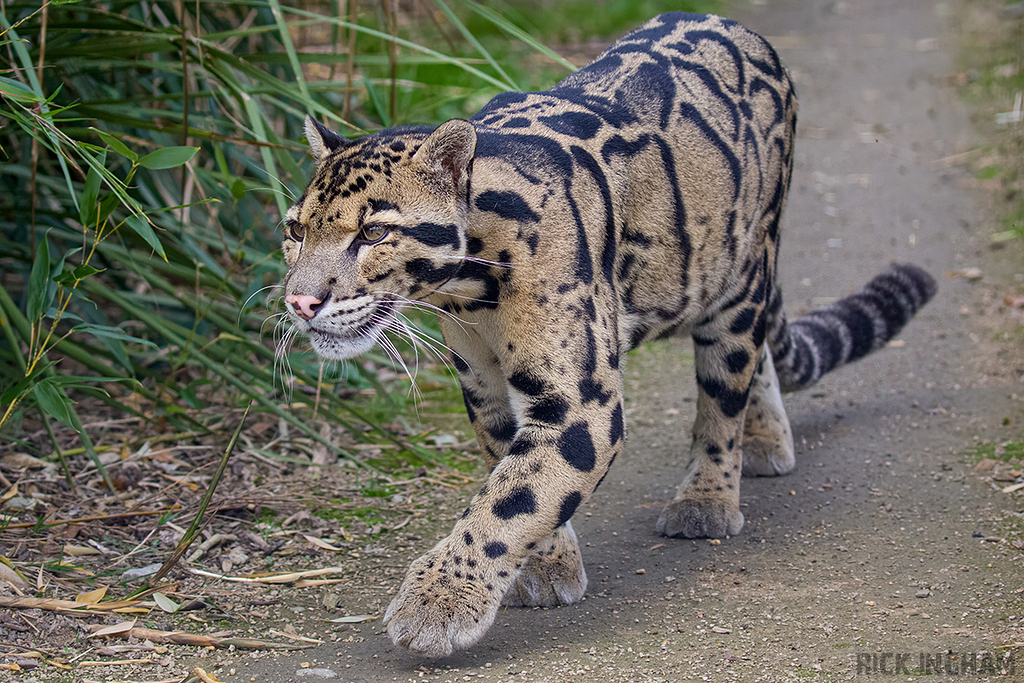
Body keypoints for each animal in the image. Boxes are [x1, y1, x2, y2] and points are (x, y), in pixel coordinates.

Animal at [280, 12, 936, 657]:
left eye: (373, 232)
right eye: (294, 230)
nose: (301, 301)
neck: (472, 290)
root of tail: (741, 28)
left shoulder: (580, 400)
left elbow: (511, 499)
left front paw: (437, 602)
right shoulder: (486, 389)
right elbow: (512, 474)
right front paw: (547, 566)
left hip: (743, 267)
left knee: (727, 383)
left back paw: (709, 495)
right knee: (755, 358)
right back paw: (766, 437)